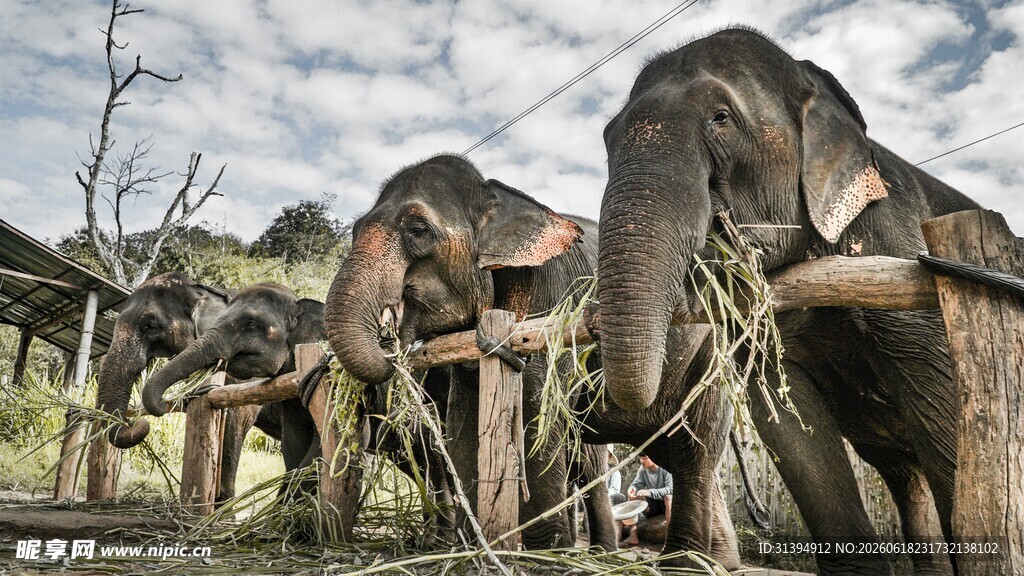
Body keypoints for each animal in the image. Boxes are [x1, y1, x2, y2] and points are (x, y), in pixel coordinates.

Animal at [323, 154, 743, 565]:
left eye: (419, 230)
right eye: (356, 228)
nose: (389, 339)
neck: (498, 196)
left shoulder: (551, 302)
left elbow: (536, 413)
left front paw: (548, 555)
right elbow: (463, 423)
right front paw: (470, 550)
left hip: (713, 360)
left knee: (693, 451)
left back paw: (682, 562)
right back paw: (716, 561)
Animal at [596, 27, 976, 575]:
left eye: (721, 119)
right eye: (607, 138)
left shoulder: (902, 252)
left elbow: (942, 403)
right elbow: (789, 423)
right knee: (906, 477)